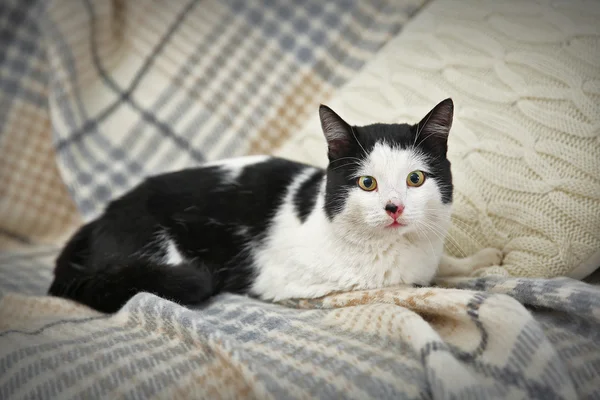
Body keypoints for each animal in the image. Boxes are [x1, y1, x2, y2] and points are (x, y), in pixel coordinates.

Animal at [49, 99, 504, 312]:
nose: (394, 208)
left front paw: (478, 259)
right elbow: (399, 287)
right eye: (367, 183)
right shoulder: (293, 280)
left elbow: (440, 267)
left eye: (416, 179)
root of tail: (96, 222)